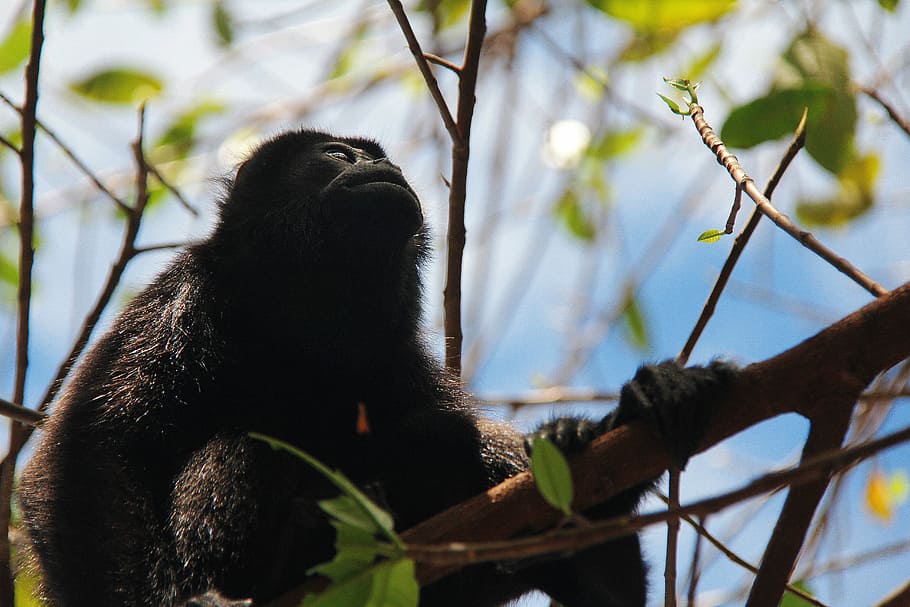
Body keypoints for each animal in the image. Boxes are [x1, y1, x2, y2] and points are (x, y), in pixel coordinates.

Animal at [18, 129, 735, 607]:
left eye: (377, 154)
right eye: (339, 154)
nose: (383, 162)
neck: (308, 313)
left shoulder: (399, 350)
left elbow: (454, 429)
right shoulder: (181, 301)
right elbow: (94, 455)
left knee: (442, 437)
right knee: (245, 449)